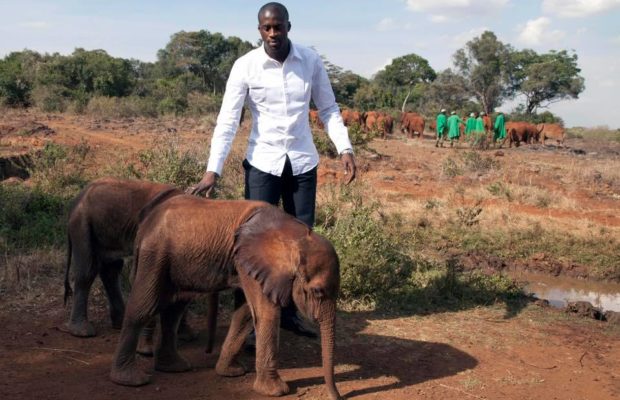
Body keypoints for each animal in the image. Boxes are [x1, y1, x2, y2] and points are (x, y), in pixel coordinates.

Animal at [65, 178, 186, 338]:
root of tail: (76, 199)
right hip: (81, 223)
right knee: (88, 271)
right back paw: (82, 332)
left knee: (111, 269)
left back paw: (119, 324)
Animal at [111, 197, 344, 400]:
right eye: (317, 292)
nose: (337, 397)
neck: (295, 233)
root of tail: (145, 222)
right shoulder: (250, 260)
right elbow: (266, 313)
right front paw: (276, 391)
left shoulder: (248, 264)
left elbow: (246, 314)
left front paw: (231, 373)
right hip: (155, 255)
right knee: (144, 307)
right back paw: (131, 380)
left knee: (174, 309)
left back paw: (174, 367)